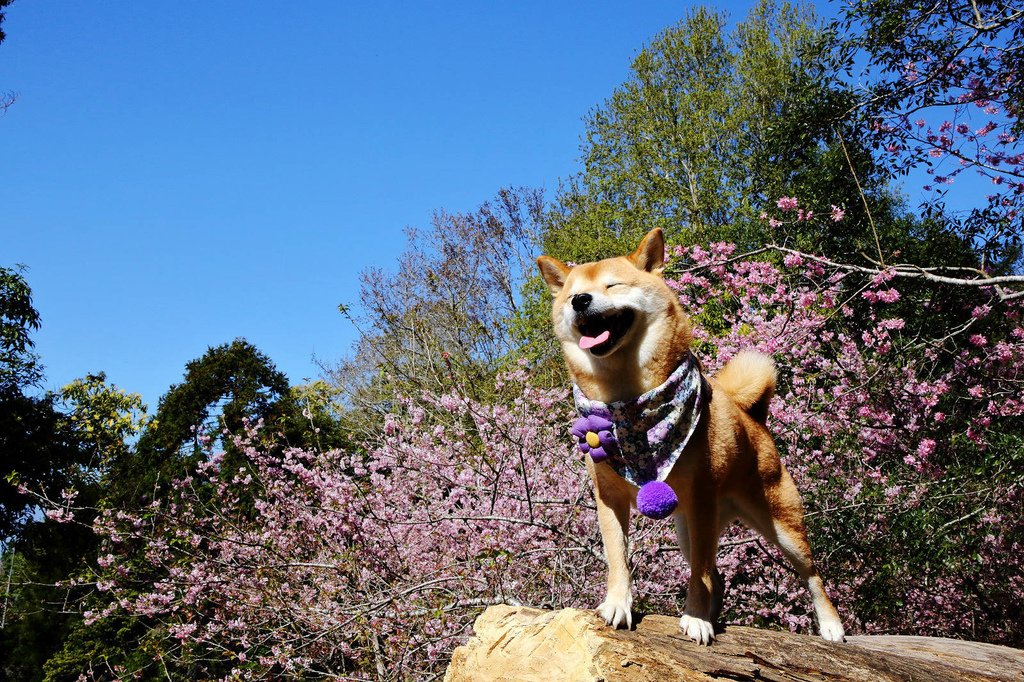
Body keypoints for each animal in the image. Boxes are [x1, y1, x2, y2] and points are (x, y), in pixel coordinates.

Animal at [532, 227, 843, 643]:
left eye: (612, 285)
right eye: (571, 295)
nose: (582, 301)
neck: (627, 402)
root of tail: (754, 418)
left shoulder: (700, 497)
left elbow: (699, 575)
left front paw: (694, 617)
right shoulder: (609, 498)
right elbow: (618, 557)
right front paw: (618, 603)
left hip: (778, 525)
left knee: (809, 574)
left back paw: (830, 625)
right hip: (688, 530)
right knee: (717, 575)